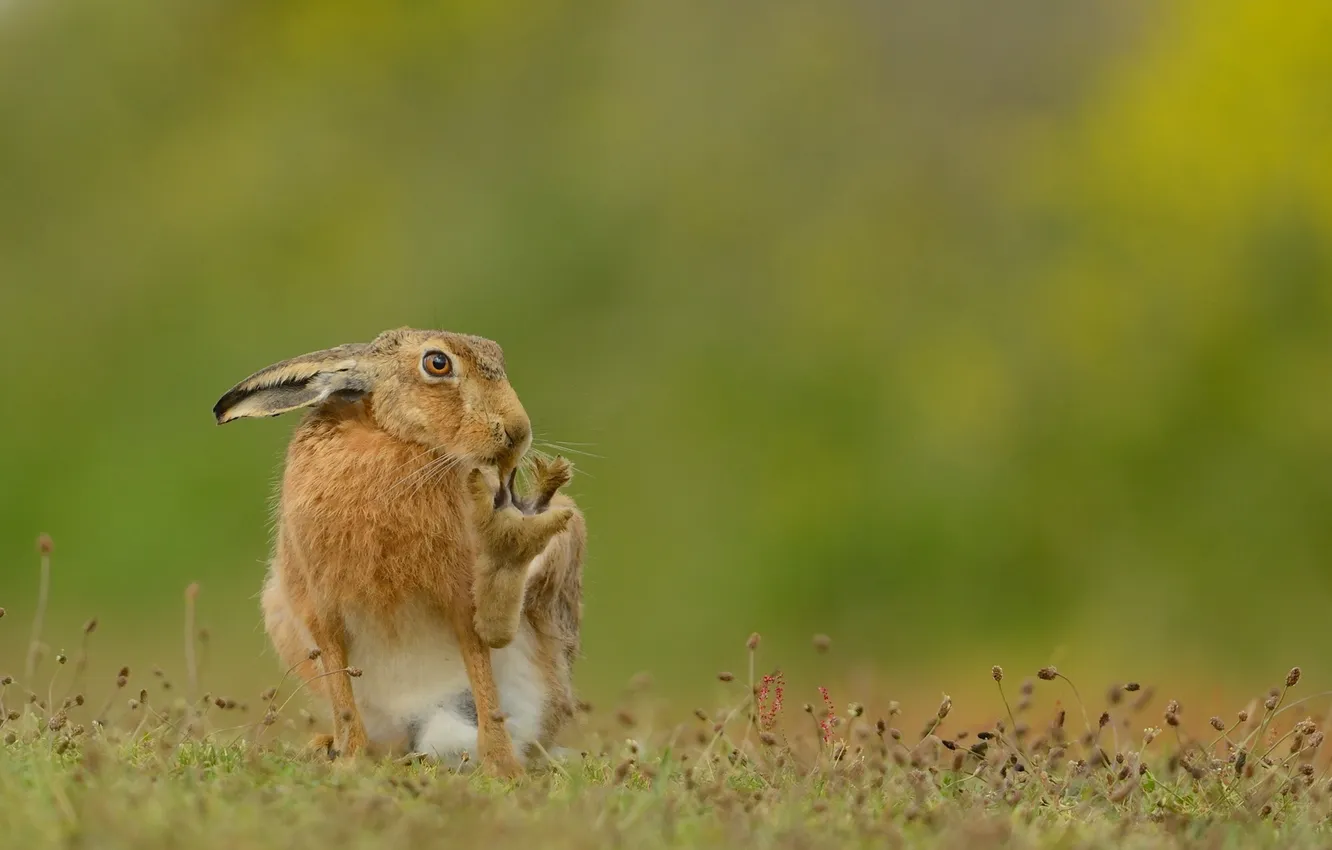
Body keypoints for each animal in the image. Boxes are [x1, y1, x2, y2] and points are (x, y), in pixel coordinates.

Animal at [212, 328, 587, 777]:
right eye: (437, 363)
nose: (518, 433)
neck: (393, 438)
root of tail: (425, 718)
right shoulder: (320, 606)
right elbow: (340, 686)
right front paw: (349, 759)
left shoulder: (459, 601)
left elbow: (481, 668)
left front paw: (501, 767)